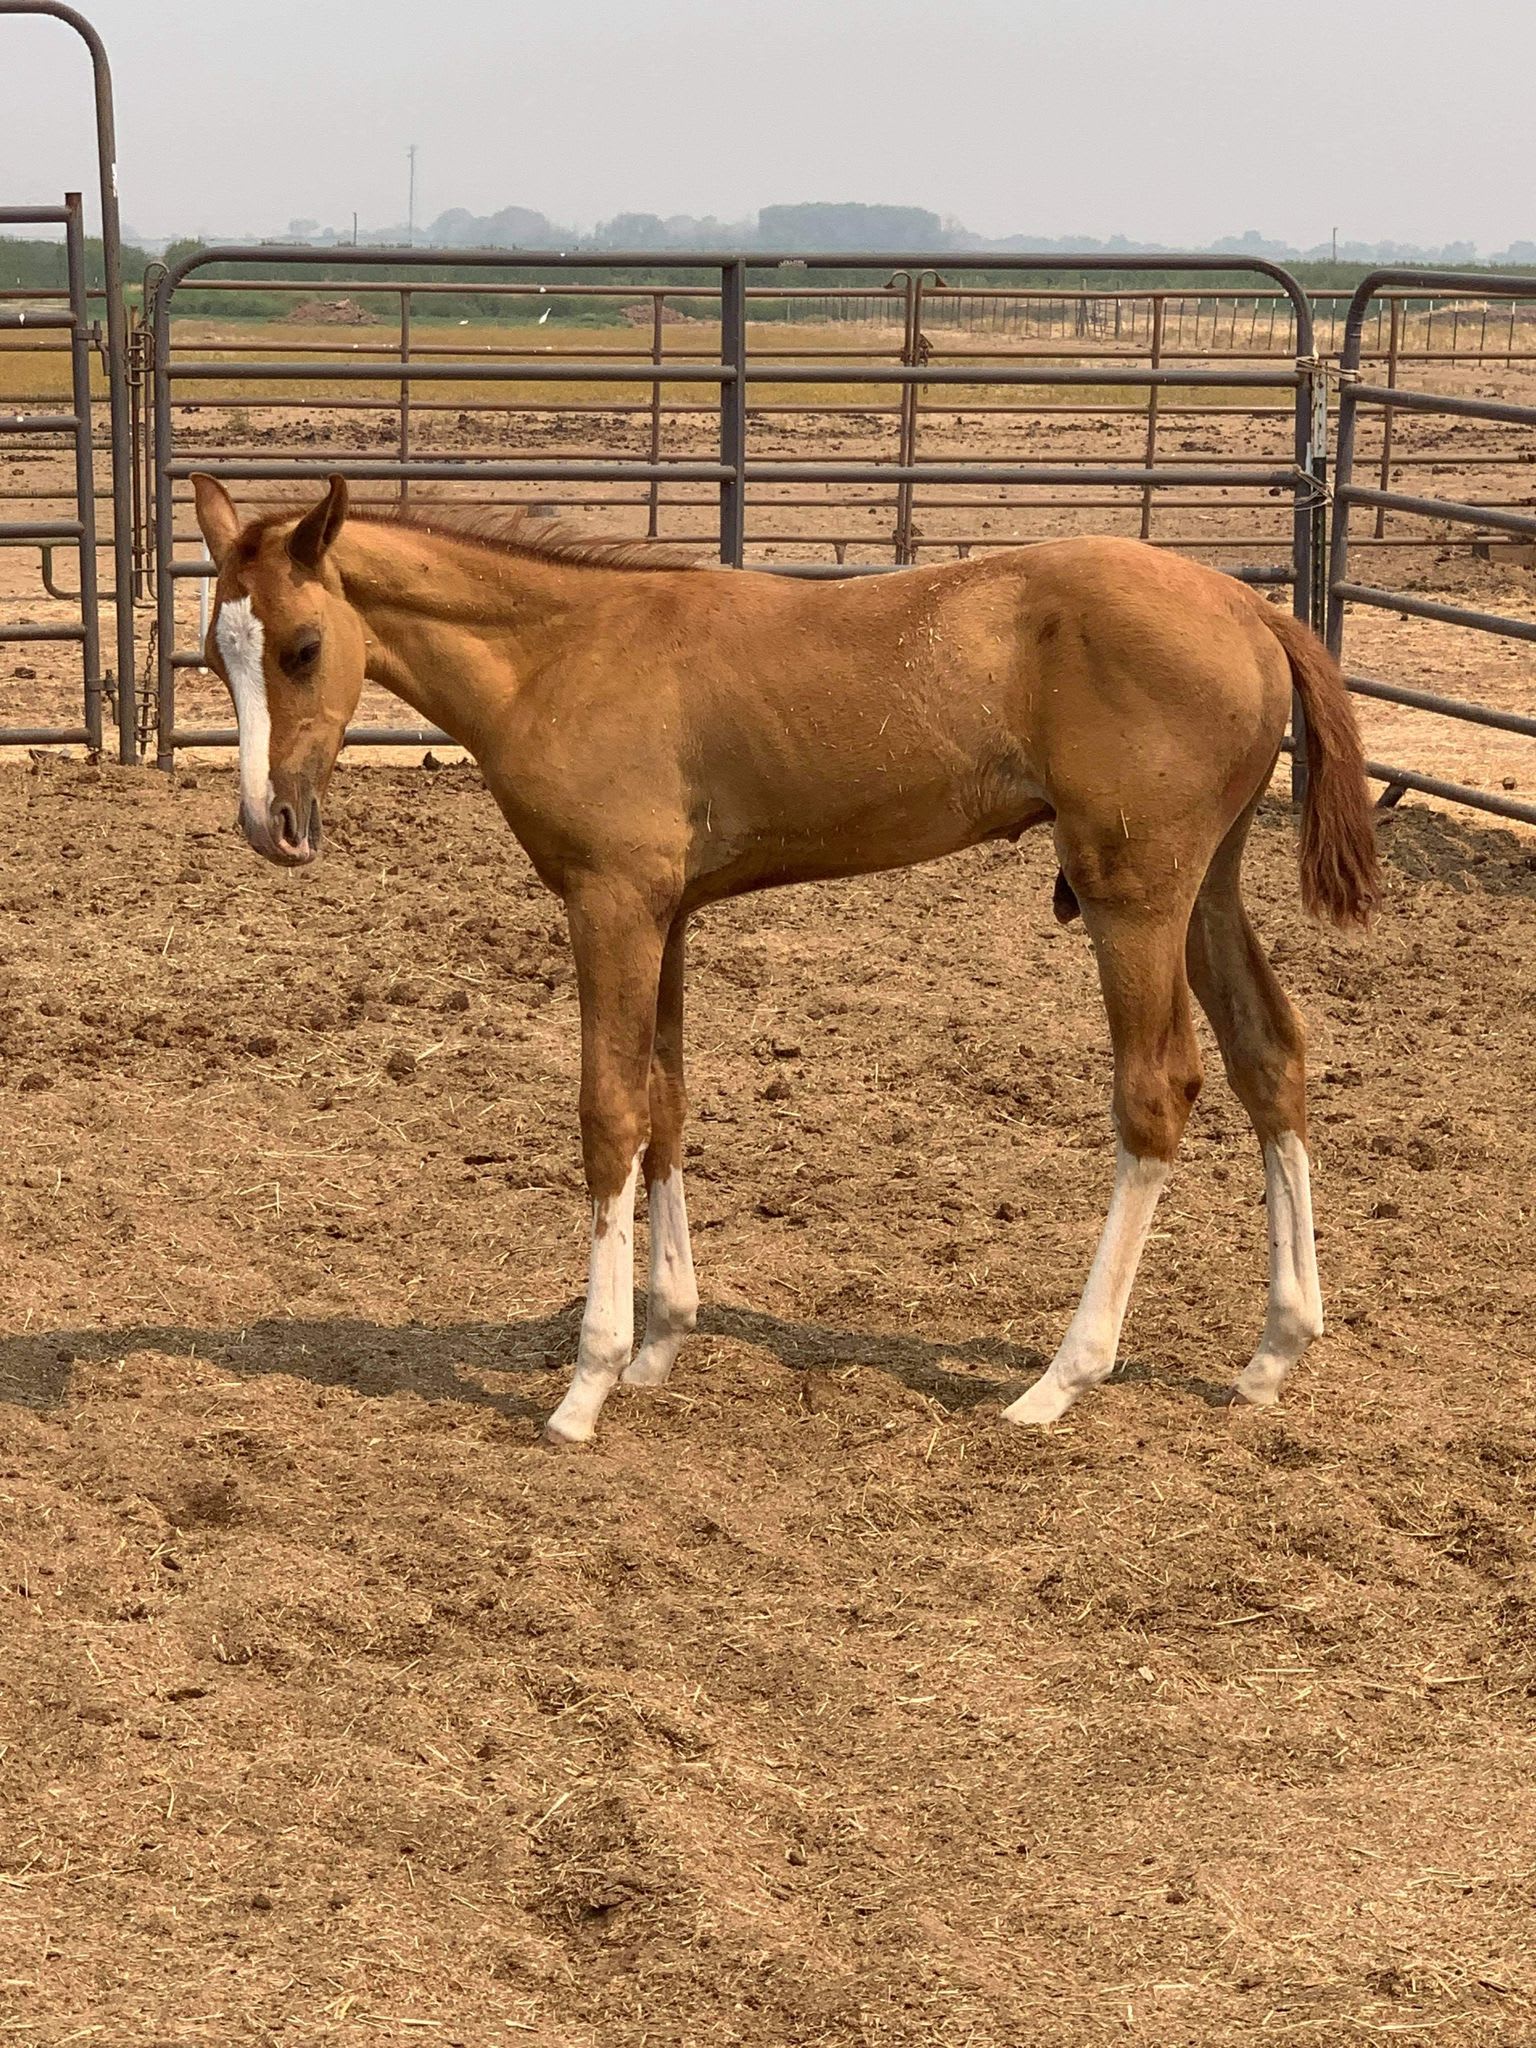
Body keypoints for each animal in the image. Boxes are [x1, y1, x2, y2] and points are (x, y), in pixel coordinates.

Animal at [191, 474, 1379, 1447]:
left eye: (302, 645)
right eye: (214, 654)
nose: (270, 825)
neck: (562, 655)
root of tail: (1252, 606)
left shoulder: (610, 905)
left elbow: (609, 1114)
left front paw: (589, 1380)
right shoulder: (665, 911)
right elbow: (665, 1100)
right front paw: (663, 1341)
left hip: (1132, 892)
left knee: (1157, 1091)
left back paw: (1062, 1375)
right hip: (1206, 883)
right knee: (1269, 1055)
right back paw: (1273, 1350)